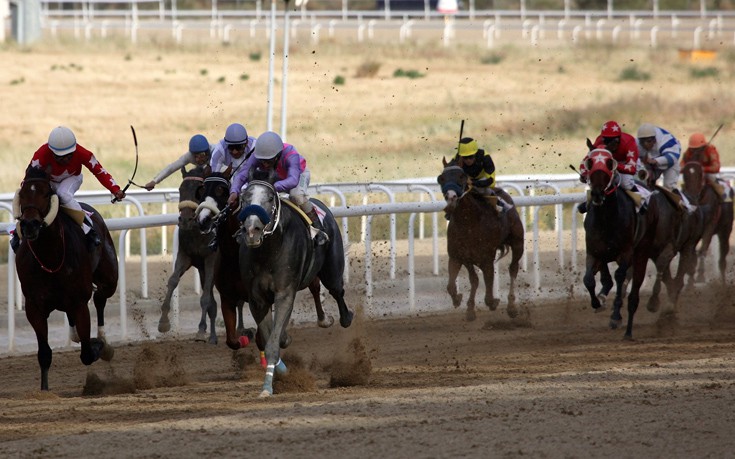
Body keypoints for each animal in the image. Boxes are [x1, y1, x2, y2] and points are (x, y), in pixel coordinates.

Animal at [14, 167, 115, 390]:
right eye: (22, 193)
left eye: (46, 193)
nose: (30, 225)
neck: (50, 255)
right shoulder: (34, 307)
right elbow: (44, 353)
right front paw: (44, 390)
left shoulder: (79, 303)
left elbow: (87, 354)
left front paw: (99, 345)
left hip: (109, 278)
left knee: (100, 297)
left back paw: (103, 339)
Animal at [436, 157, 524, 320]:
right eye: (441, 178)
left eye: (462, 176)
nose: (451, 198)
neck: (469, 222)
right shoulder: (459, 257)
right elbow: (456, 284)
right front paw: (463, 303)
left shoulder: (486, 258)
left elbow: (488, 286)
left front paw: (493, 301)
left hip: (518, 242)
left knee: (513, 269)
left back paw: (511, 306)